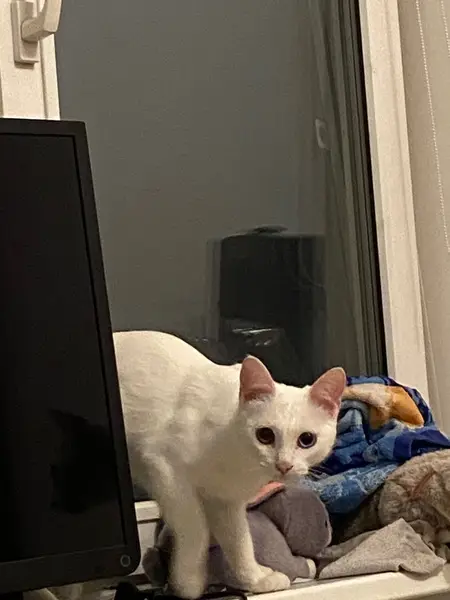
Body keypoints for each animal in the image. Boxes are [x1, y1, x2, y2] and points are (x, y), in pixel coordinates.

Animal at [114, 330, 345, 599]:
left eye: (307, 440)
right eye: (264, 435)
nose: (284, 465)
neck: (236, 455)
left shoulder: (225, 501)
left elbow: (240, 543)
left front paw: (255, 578)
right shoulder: (165, 470)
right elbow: (197, 529)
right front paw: (188, 582)